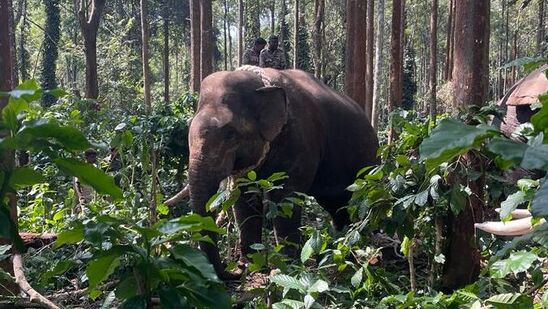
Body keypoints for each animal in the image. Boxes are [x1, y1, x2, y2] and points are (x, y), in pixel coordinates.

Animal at [186, 66, 378, 278]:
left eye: (230, 134)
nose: (234, 272)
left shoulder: (300, 139)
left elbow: (285, 197)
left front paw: (285, 268)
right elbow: (244, 198)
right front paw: (251, 265)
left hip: (369, 167)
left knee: (360, 204)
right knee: (338, 206)